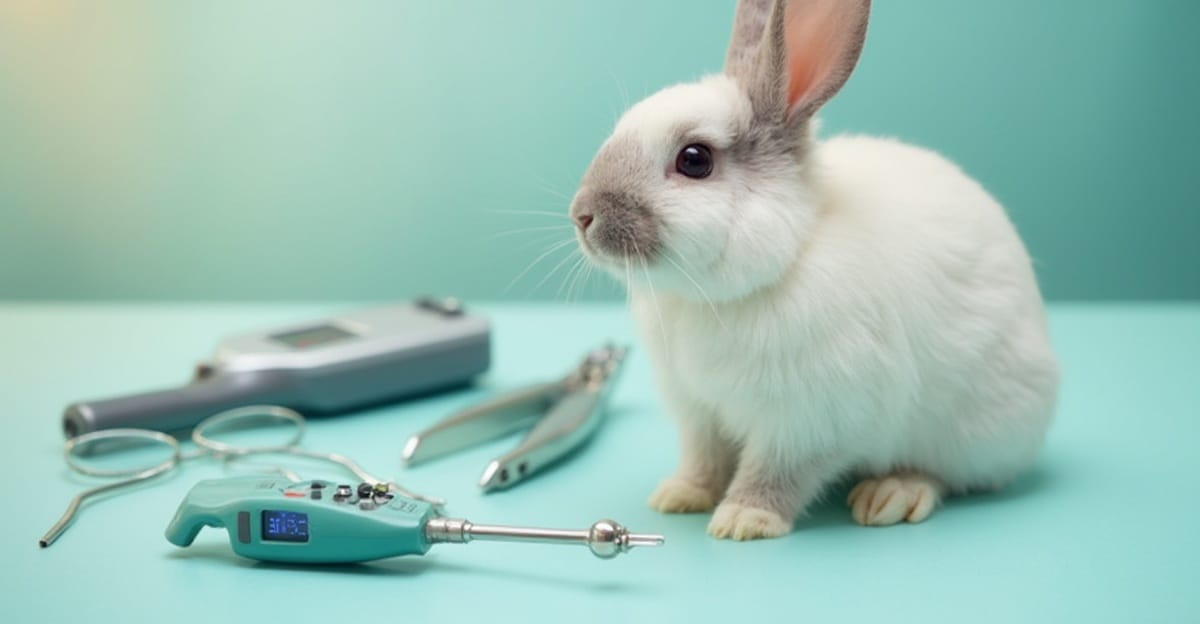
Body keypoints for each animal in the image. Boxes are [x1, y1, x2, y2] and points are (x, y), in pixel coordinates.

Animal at [567, 0, 1059, 540]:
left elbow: (776, 472)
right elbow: (704, 460)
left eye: (694, 159)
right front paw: (678, 496)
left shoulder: (809, 423)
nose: (582, 215)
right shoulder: (699, 412)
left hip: (969, 431)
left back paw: (891, 493)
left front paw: (744, 519)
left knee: (946, 474)